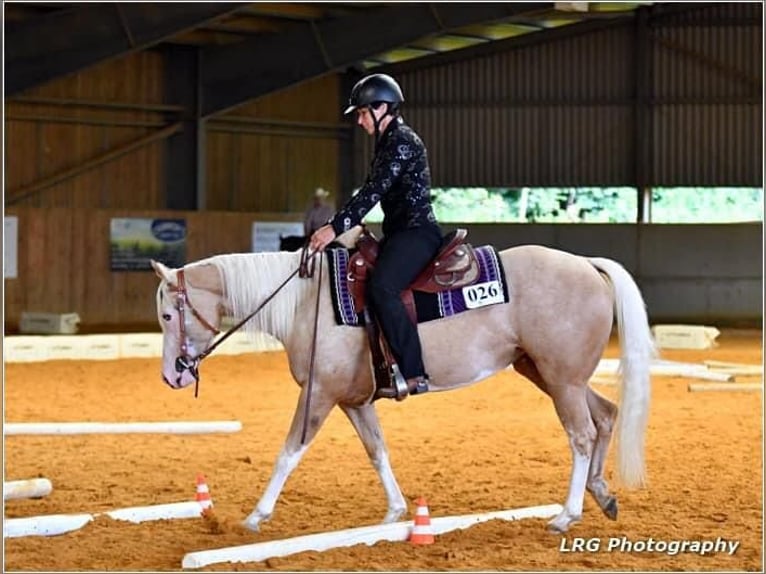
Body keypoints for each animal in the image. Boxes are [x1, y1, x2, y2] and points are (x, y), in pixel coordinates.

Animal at [153, 236, 656, 532]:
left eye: (166, 315)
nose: (172, 375)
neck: (305, 301)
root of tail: (587, 264)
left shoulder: (318, 394)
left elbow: (288, 452)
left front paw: (256, 515)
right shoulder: (354, 401)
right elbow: (377, 451)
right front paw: (396, 512)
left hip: (561, 379)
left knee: (581, 435)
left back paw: (566, 515)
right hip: (550, 374)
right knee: (606, 416)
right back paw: (602, 495)